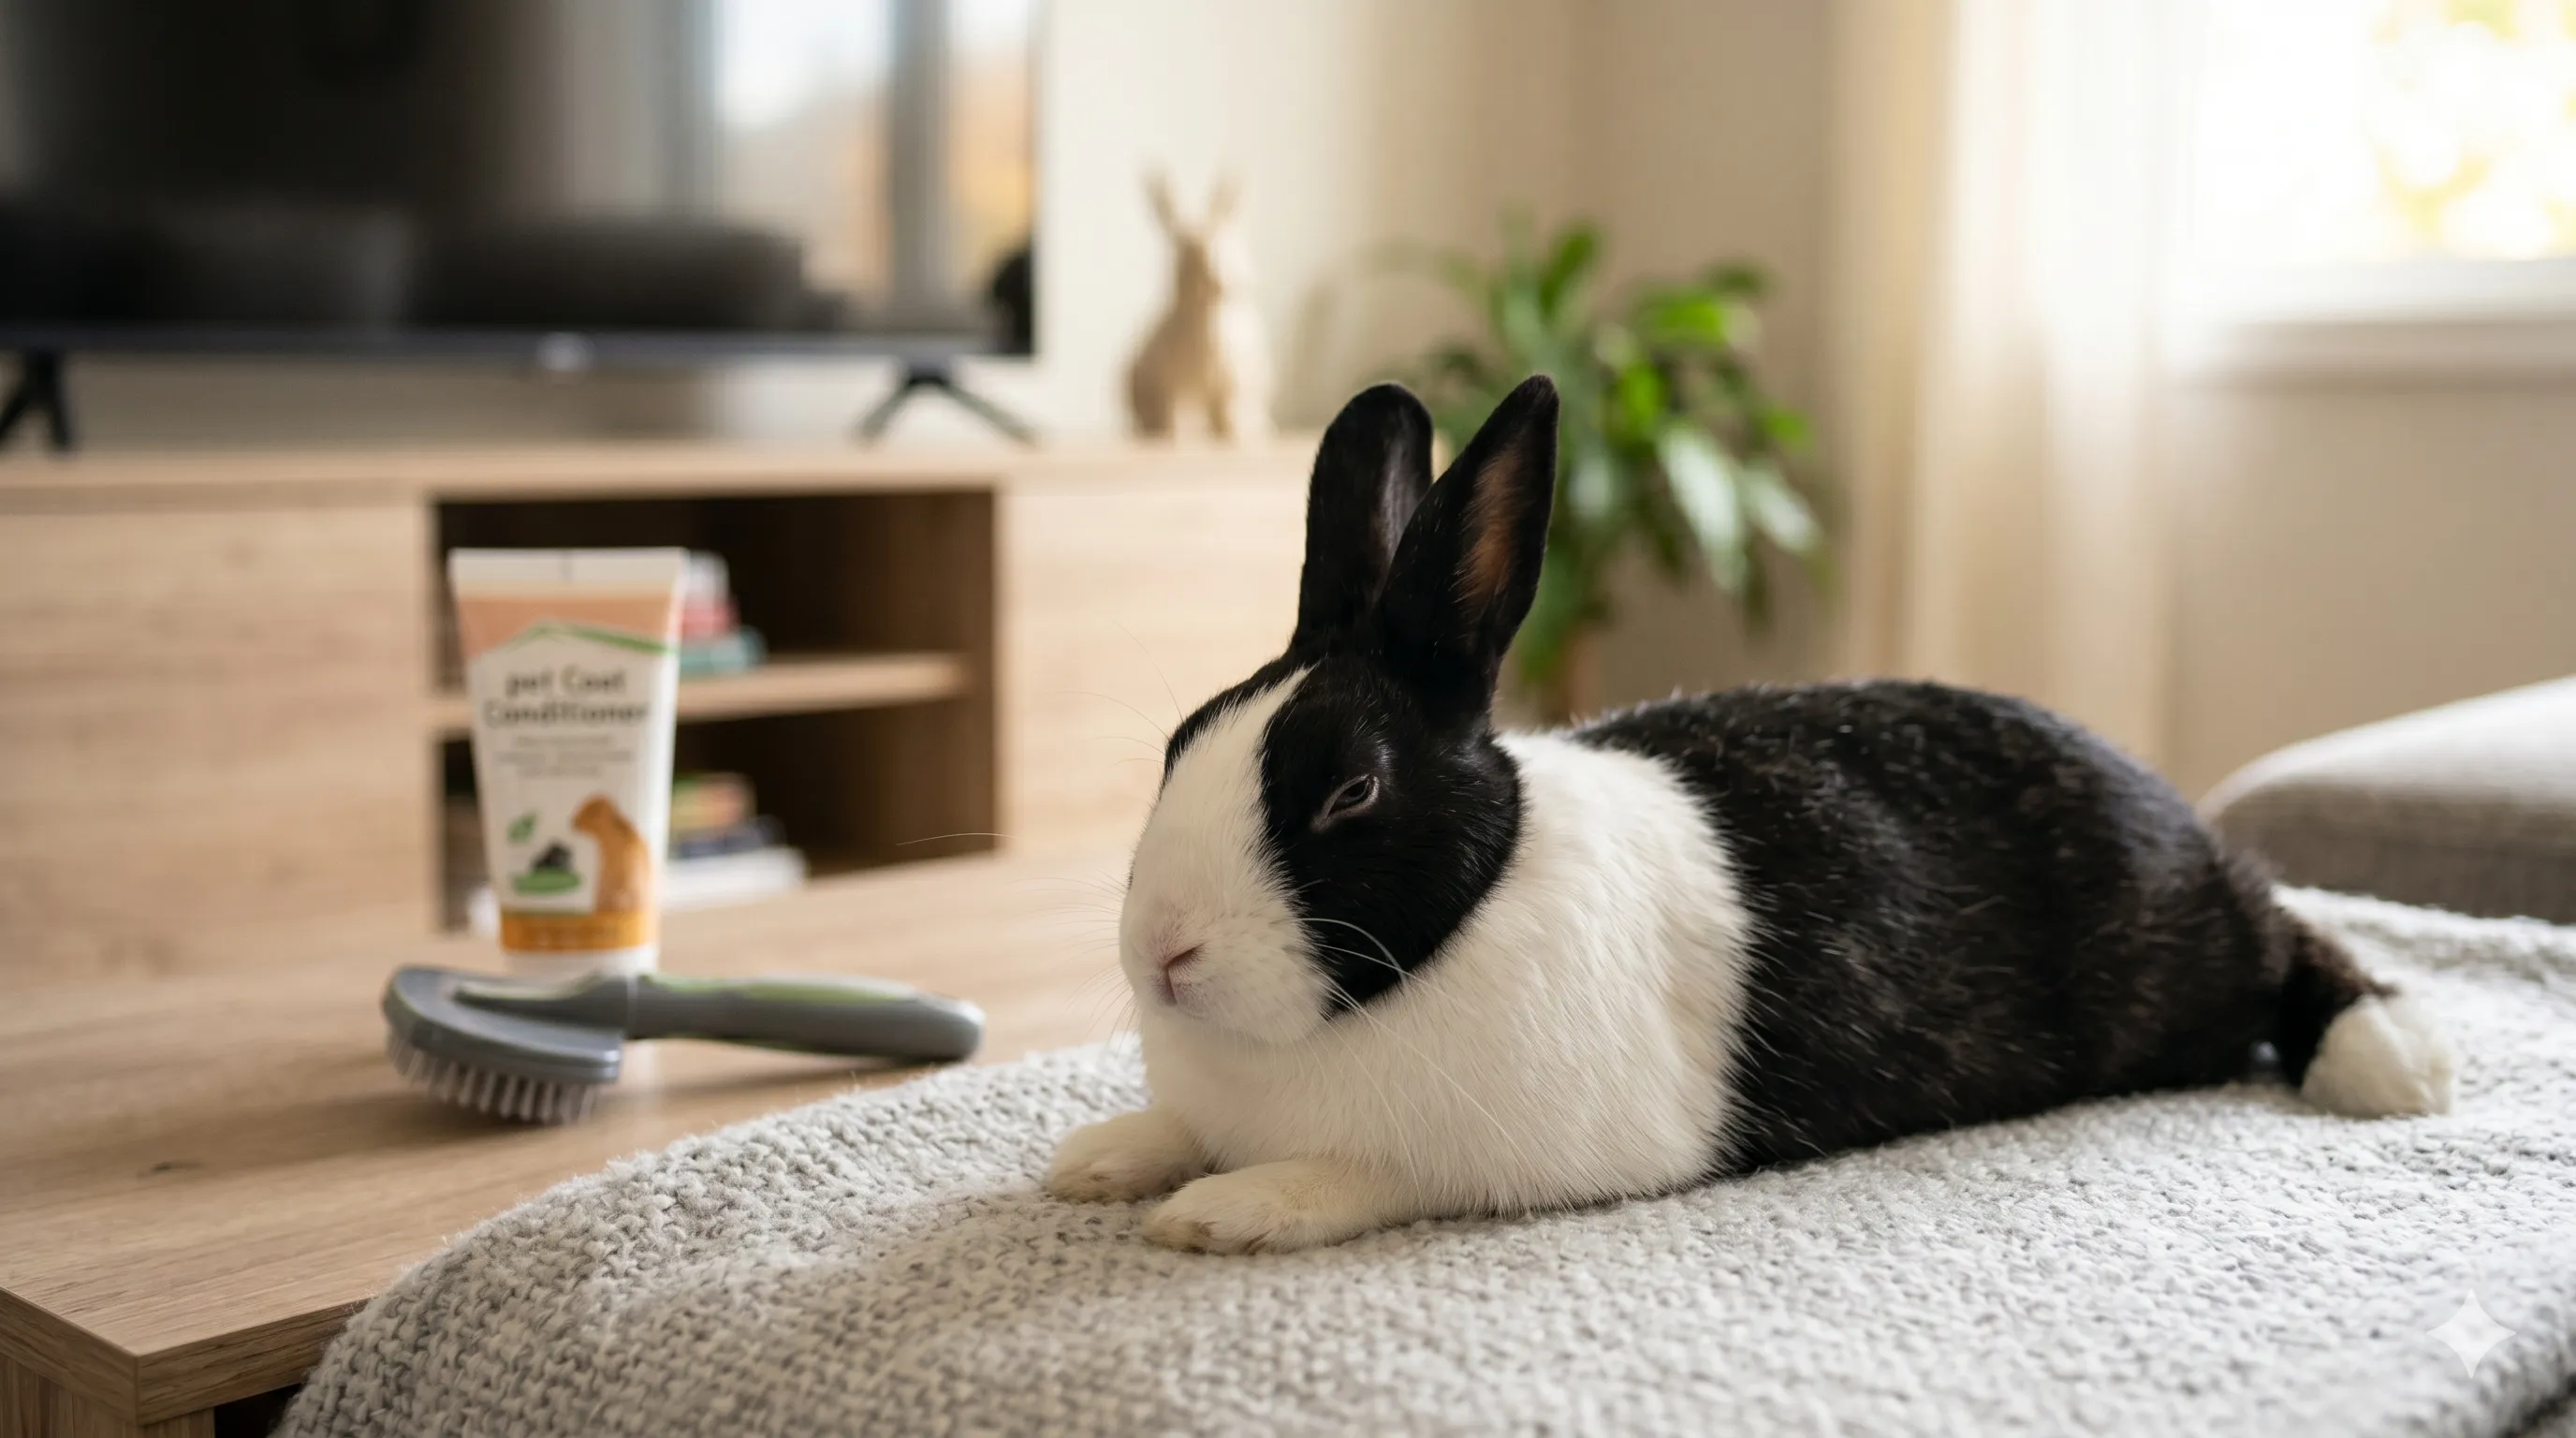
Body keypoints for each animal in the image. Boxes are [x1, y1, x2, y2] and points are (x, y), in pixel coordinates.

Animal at [1046, 375, 2458, 1255]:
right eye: (1180, 744)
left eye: (1352, 790)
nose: (1160, 954)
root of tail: (2164, 806)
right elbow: (1177, 1130)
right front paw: (1099, 1159)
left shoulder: (1471, 1164)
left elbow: (1355, 1177)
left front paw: (1219, 1214)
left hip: (2195, 950)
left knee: (2290, 938)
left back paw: (2394, 1066)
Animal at [1126, 171, 1273, 443]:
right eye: (1187, 250)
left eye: (1229, 244)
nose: (1218, 279)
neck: (1209, 312)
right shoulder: (1179, 384)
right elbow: (1183, 409)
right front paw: (1182, 436)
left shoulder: (1234, 381)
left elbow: (1233, 406)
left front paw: (1240, 433)